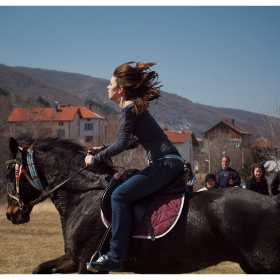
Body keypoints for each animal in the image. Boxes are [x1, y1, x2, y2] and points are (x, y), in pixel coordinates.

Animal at [4, 136, 280, 274]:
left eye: (7, 174)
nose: (10, 214)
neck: (83, 197)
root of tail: (273, 201)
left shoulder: (86, 265)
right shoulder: (74, 259)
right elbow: (39, 269)